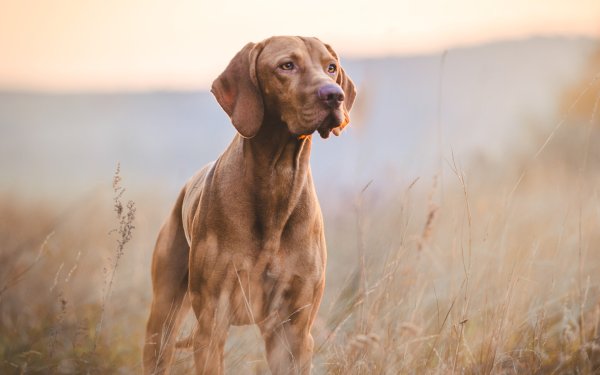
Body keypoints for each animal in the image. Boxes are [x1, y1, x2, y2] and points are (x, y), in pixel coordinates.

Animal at [143, 36, 354, 375]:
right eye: (287, 65)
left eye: (331, 67)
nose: (335, 95)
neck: (277, 181)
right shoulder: (212, 324)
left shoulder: (295, 331)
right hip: (162, 319)